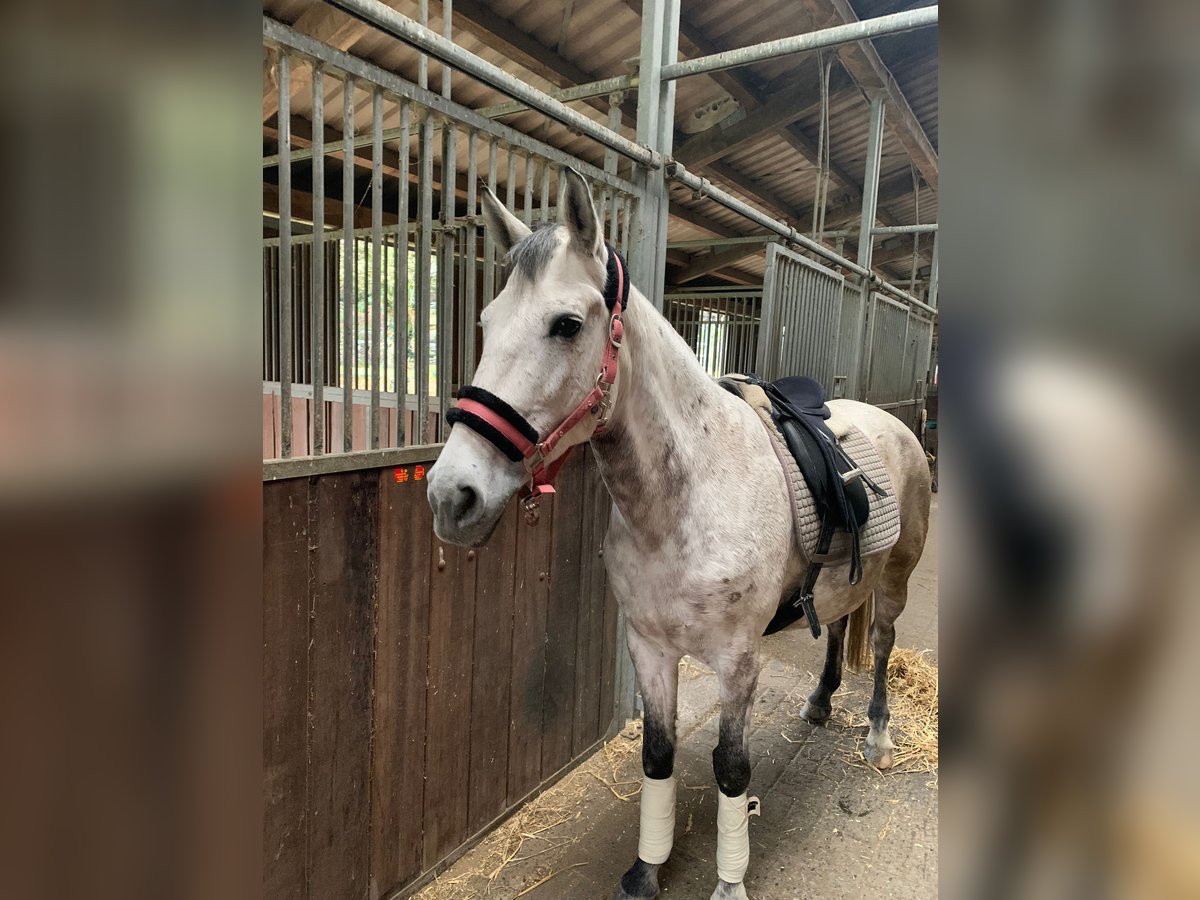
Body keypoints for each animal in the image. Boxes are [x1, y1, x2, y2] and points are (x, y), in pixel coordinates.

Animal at [427, 169, 931, 900]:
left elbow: (731, 768)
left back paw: (879, 737)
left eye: (566, 325)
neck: (685, 500)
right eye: (488, 323)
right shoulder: (650, 647)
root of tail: (888, 423)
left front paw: (729, 883)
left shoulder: (738, 661)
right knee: (839, 624)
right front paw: (645, 870)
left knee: (885, 643)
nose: (450, 496)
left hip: (896, 578)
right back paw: (818, 701)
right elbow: (658, 754)